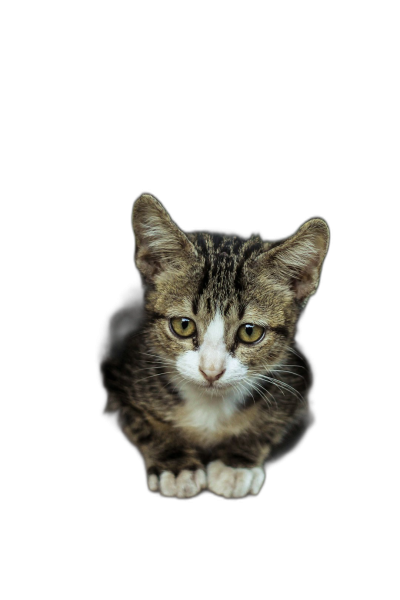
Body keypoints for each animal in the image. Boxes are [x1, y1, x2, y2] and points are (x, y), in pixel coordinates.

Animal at [101, 195, 330, 500]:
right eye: (183, 325)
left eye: (250, 332)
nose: (211, 370)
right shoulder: (118, 370)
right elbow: (140, 421)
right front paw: (176, 466)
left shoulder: (297, 387)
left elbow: (272, 425)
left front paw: (235, 464)